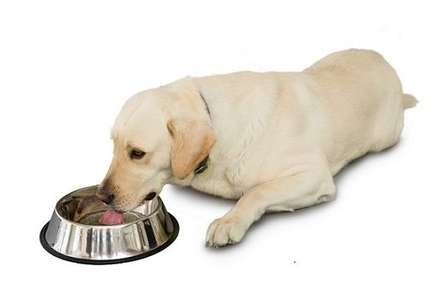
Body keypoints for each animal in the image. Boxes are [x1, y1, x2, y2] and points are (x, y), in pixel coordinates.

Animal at [96, 49, 416, 247]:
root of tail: (384, 61)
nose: (102, 196)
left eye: (137, 153)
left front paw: (228, 222)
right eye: (113, 145)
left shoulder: (313, 176)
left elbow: (257, 192)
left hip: (385, 136)